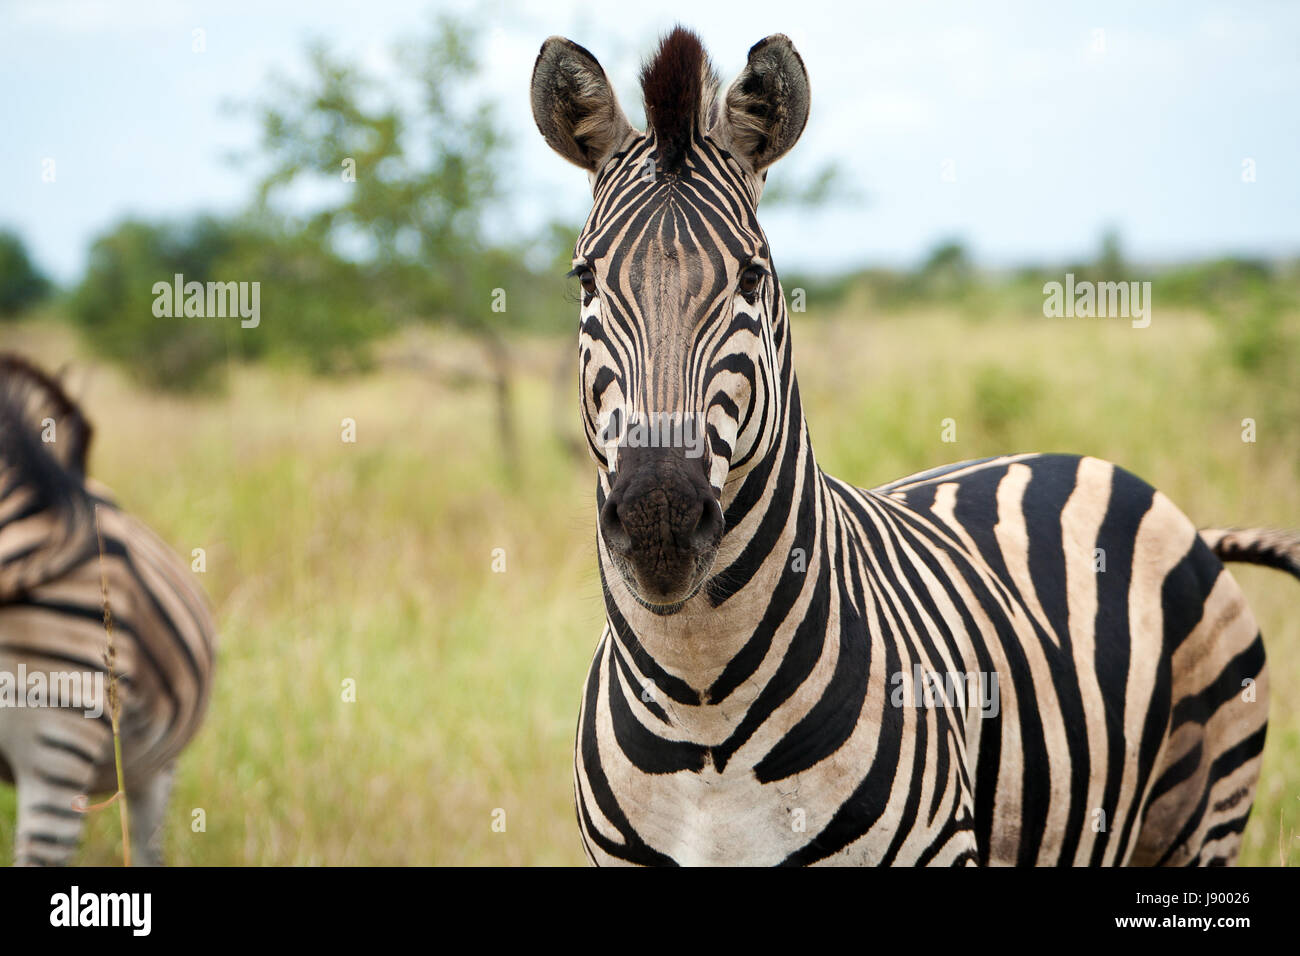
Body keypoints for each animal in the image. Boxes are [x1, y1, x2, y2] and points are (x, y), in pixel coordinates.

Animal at [530, 27, 1300, 868]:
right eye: (585, 280)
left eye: (752, 278)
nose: (659, 520)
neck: (701, 706)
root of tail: (1139, 491)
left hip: (1203, 815)